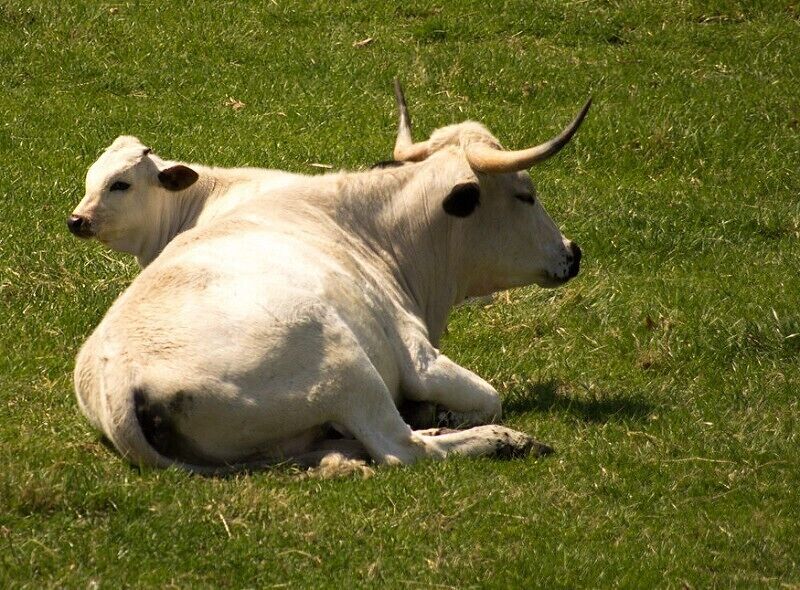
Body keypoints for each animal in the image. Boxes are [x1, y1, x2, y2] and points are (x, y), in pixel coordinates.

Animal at [73, 81, 590, 472]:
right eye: (525, 193)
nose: (573, 252)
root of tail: (118, 374)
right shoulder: (419, 359)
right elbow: (488, 397)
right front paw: (454, 415)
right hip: (344, 364)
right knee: (401, 448)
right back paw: (504, 439)